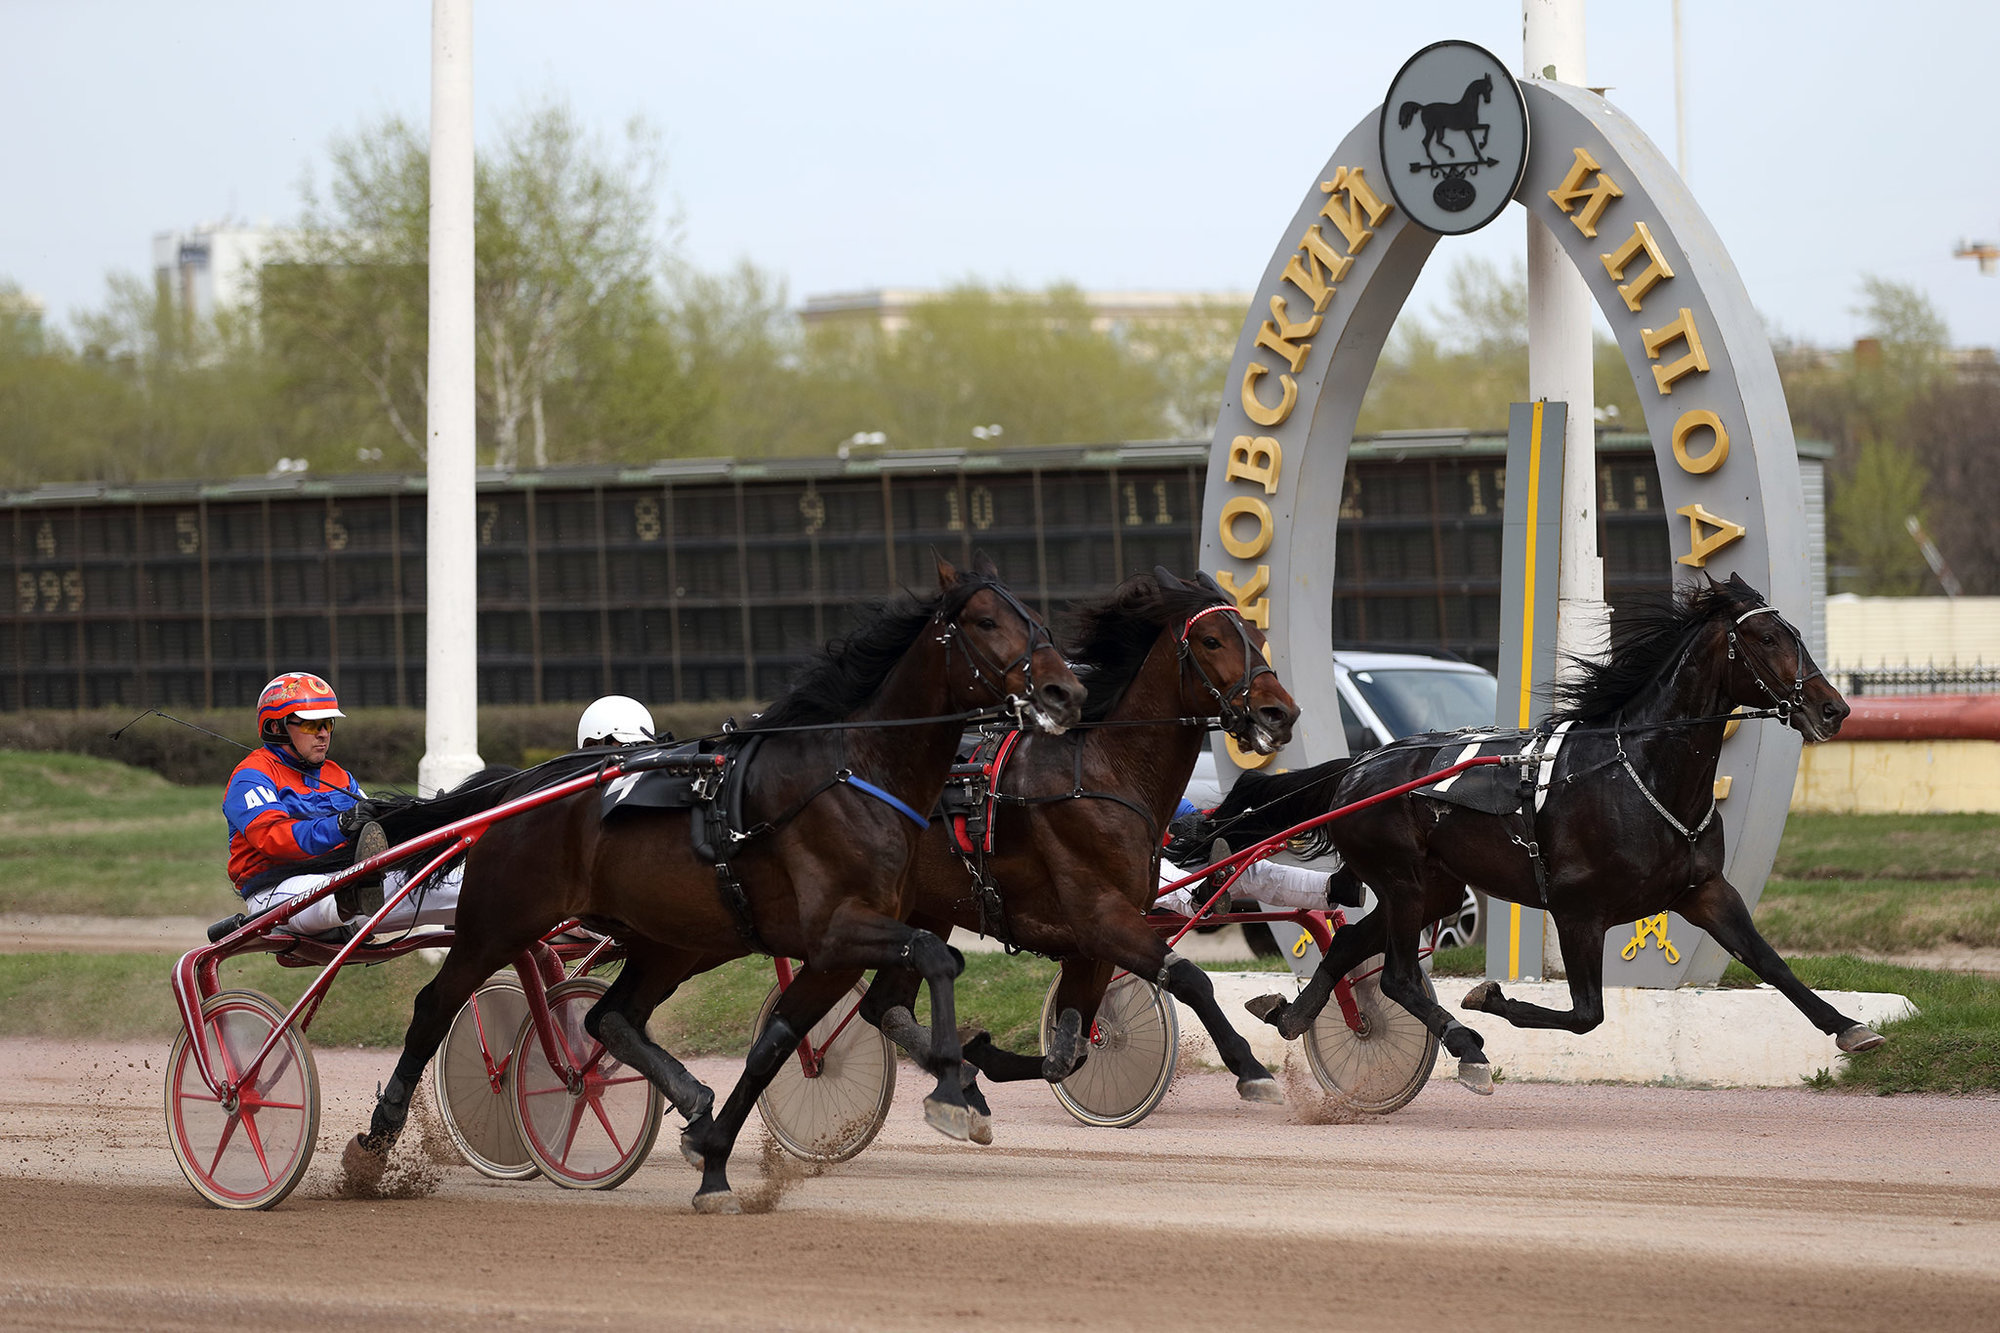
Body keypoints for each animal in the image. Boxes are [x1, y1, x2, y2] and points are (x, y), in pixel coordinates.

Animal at [352, 556, 1088, 1208]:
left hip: (669, 941)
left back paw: (690, 1095)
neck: (853, 772)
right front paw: (954, 1092)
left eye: (1039, 620)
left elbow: (776, 1044)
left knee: (606, 1015)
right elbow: (939, 955)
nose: (1067, 692)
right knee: (434, 1007)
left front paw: (712, 1155)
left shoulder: (836, 948)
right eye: (988, 621)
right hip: (499, 920)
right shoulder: (839, 928)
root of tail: (521, 787)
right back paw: (375, 1142)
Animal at [864, 564, 1304, 1112]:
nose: (1279, 713)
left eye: (1259, 639)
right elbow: (1189, 978)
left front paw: (986, 1053)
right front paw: (1251, 1069)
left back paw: (961, 1077)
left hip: (926, 912)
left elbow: (1069, 1052)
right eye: (1211, 640)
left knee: (884, 1007)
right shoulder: (1100, 916)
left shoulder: (1091, 940)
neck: (1103, 775)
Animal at [1232, 572, 1872, 1088]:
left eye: (1793, 633)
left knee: (1347, 946)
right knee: (1397, 977)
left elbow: (1769, 962)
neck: (1640, 773)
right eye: (1766, 639)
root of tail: (1358, 767)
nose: (1833, 709)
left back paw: (1292, 1016)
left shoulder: (1703, 890)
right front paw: (1489, 995)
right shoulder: (1578, 910)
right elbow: (1587, 1015)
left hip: (1429, 888)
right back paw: (1465, 1045)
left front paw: (1849, 1027)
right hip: (1403, 879)